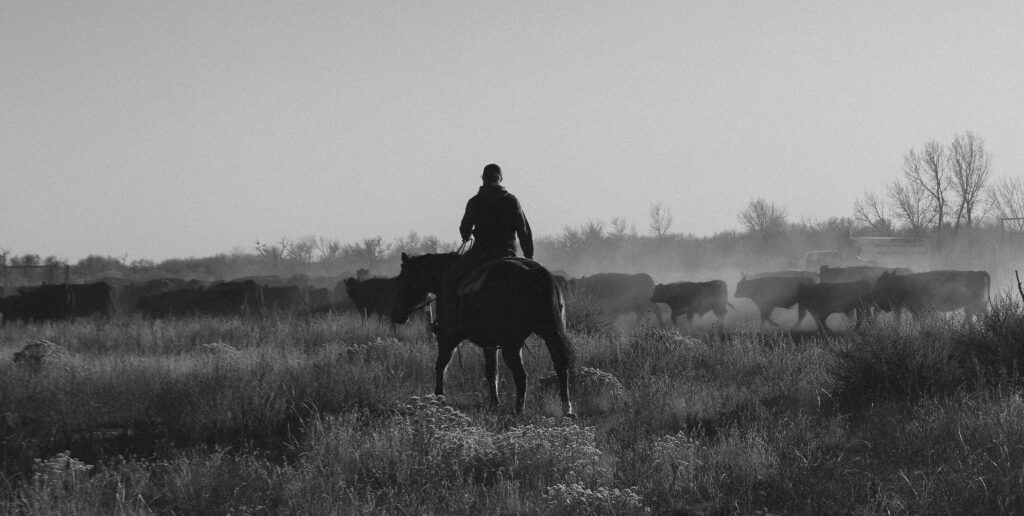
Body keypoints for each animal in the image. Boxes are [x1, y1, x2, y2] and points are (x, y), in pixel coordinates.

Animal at [391, 251, 577, 417]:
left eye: (403, 279)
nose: (397, 315)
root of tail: (536, 273)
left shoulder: (447, 338)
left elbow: (440, 366)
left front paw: (438, 400)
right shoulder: (490, 345)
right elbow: (491, 372)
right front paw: (494, 404)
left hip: (512, 344)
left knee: (521, 375)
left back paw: (518, 411)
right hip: (548, 334)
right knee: (560, 365)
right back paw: (566, 409)